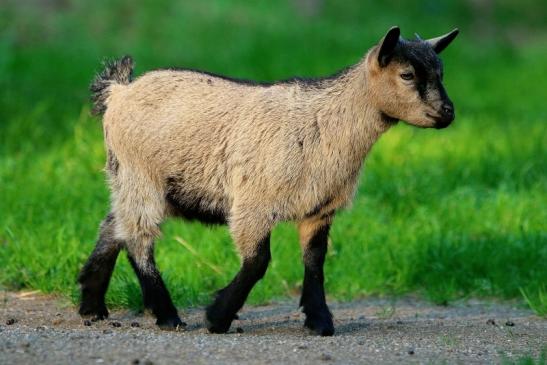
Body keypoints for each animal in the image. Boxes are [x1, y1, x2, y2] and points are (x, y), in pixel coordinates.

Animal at [79, 27, 460, 336]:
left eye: (441, 72)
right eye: (407, 74)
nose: (447, 113)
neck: (325, 122)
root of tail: (119, 92)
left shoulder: (320, 207)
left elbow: (315, 262)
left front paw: (320, 321)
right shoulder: (254, 202)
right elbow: (258, 262)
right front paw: (217, 318)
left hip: (135, 180)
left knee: (113, 226)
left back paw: (91, 305)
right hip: (141, 173)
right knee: (138, 238)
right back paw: (167, 315)